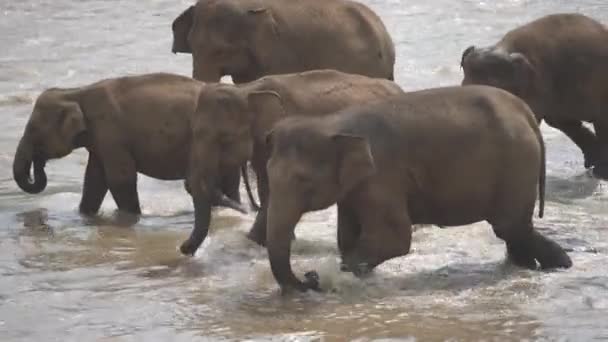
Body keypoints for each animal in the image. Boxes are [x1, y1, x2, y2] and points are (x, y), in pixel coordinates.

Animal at [12, 73, 245, 219]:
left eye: (33, 130)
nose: (39, 165)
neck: (75, 92)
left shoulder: (111, 133)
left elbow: (120, 178)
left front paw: (131, 217)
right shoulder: (99, 141)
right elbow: (94, 181)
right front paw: (85, 215)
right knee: (230, 181)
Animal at [177, 70, 404, 256]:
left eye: (224, 138)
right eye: (192, 132)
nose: (182, 248)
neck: (247, 89)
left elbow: (273, 192)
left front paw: (255, 241)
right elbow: (266, 187)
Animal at [264, 85, 572, 292]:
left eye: (303, 182)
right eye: (267, 175)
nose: (308, 277)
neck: (332, 122)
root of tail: (525, 112)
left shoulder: (382, 178)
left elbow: (395, 239)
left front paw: (335, 276)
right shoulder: (356, 189)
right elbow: (347, 236)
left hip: (517, 162)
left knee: (510, 226)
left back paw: (560, 266)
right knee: (514, 231)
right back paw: (540, 267)